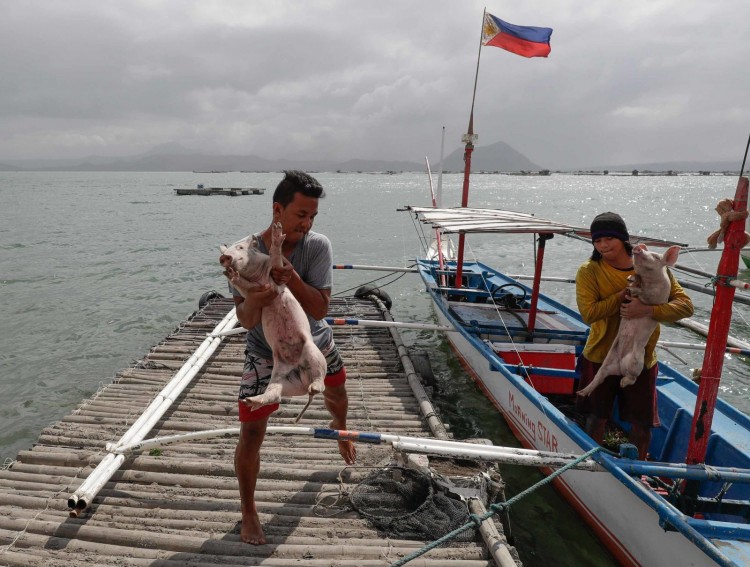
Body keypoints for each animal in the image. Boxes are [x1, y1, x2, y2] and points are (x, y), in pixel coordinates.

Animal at [219, 224, 328, 420]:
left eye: (240, 247)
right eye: (226, 251)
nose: (224, 258)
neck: (257, 277)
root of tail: (298, 369)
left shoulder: (275, 270)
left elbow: (276, 259)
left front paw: (278, 232)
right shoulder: (250, 292)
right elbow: (242, 287)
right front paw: (230, 274)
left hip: (313, 353)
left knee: (320, 382)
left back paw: (314, 386)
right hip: (279, 375)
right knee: (275, 394)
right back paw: (251, 401)